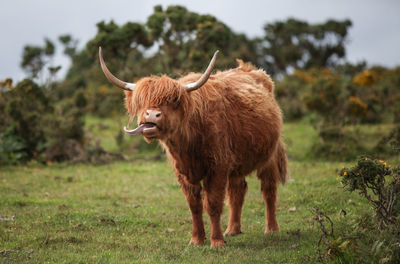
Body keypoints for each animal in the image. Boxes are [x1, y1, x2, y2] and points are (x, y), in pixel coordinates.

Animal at [99, 47, 290, 248]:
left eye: (174, 100)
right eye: (142, 101)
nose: (151, 115)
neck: (188, 144)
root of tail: (251, 69)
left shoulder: (218, 167)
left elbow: (213, 204)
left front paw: (216, 241)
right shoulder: (184, 172)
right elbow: (194, 205)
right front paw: (197, 240)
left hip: (270, 156)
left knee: (268, 190)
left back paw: (271, 229)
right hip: (236, 162)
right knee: (237, 190)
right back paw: (232, 230)